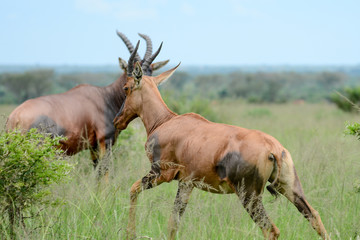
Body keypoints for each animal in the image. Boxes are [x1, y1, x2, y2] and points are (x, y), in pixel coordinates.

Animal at [5, 32, 169, 176]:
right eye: (129, 76)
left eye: (151, 72)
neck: (105, 97)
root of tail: (14, 117)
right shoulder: (105, 141)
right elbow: (105, 171)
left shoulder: (93, 145)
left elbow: (97, 171)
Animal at [114, 61, 330, 239]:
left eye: (126, 88)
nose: (117, 120)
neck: (167, 121)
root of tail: (273, 148)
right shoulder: (186, 183)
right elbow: (173, 222)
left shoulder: (161, 174)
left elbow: (133, 189)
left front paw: (130, 234)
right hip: (290, 187)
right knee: (314, 216)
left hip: (249, 195)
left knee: (271, 230)